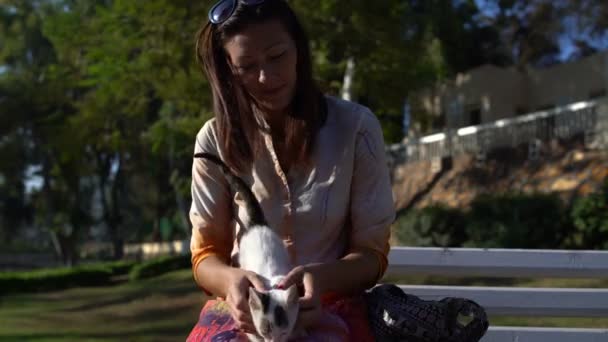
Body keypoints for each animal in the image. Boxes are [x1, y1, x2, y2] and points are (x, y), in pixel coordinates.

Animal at [195, 153, 300, 342]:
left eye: (283, 332)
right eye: (266, 331)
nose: (274, 341)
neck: (271, 281)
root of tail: (257, 223)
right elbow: (253, 334)